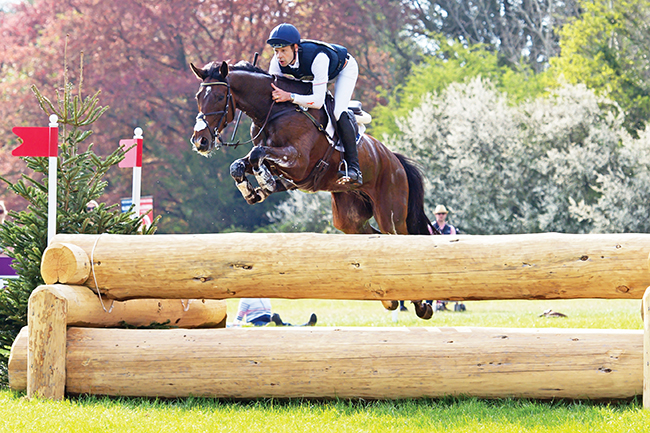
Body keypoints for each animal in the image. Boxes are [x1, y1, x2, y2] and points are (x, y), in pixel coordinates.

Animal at [190, 59, 438, 318]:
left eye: (219, 96)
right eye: (198, 97)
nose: (200, 141)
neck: (273, 112)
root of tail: (395, 159)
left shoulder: (297, 161)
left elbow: (259, 154)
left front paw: (265, 182)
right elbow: (238, 165)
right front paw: (253, 191)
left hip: (390, 212)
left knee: (402, 239)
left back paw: (422, 304)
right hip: (349, 218)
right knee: (371, 237)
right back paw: (390, 299)